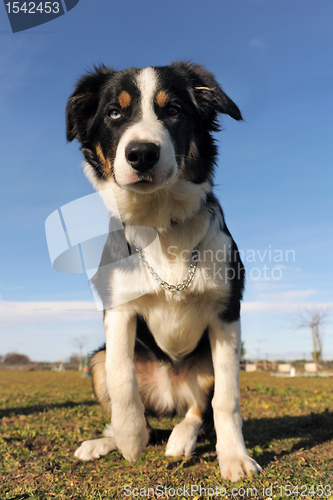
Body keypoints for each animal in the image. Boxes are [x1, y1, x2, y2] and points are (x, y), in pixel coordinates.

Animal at [65, 61, 262, 480]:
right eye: (114, 113)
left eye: (173, 110)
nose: (141, 153)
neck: (160, 224)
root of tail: (170, 393)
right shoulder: (118, 308)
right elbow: (121, 378)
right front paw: (129, 439)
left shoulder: (227, 314)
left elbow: (227, 399)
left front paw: (234, 456)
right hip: (95, 360)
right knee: (139, 408)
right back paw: (109, 440)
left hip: (205, 364)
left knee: (198, 408)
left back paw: (181, 438)